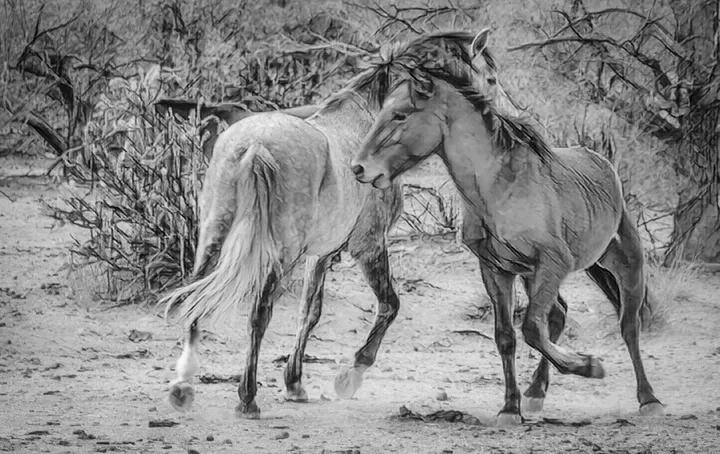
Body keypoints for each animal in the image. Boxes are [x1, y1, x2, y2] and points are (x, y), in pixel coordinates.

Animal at [159, 29, 499, 419]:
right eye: (490, 78)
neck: (368, 122)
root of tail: (255, 145)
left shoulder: (320, 254)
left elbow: (310, 311)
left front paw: (294, 383)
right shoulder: (368, 245)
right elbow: (390, 305)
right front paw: (351, 375)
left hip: (214, 235)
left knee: (194, 295)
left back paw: (183, 385)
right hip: (280, 253)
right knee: (259, 312)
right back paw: (247, 398)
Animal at [350, 41, 664, 425]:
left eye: (400, 115)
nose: (359, 168)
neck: (499, 188)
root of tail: (602, 162)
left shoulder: (553, 263)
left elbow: (530, 328)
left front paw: (589, 366)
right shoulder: (497, 270)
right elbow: (508, 336)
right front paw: (511, 407)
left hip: (625, 263)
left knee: (628, 326)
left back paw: (649, 399)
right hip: (534, 276)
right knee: (557, 315)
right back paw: (536, 392)